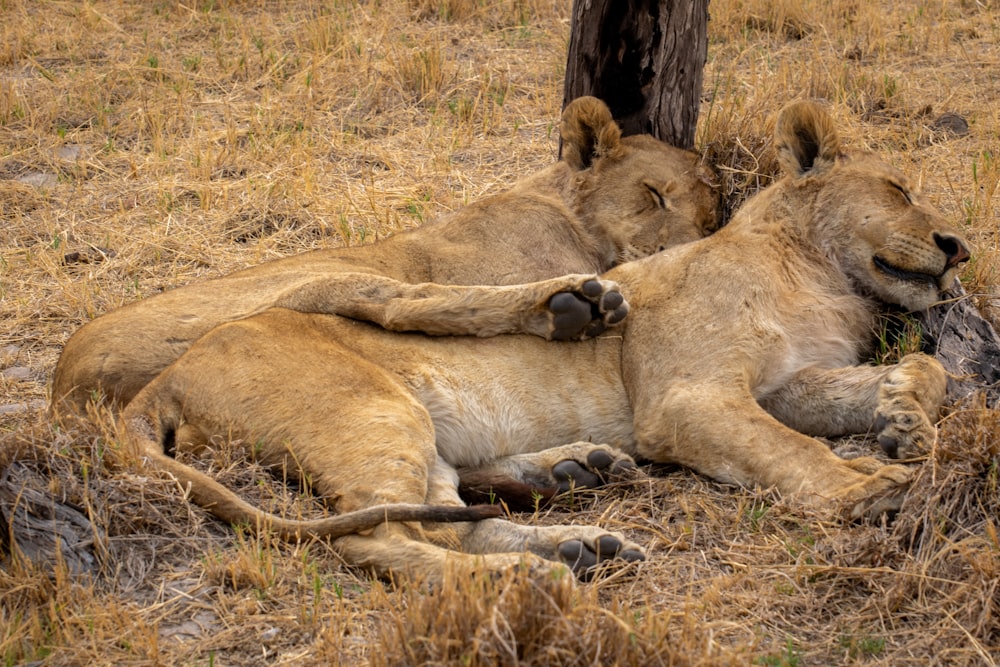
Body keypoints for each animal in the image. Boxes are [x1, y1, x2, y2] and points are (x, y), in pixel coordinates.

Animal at [50, 96, 720, 412]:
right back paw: (568, 307)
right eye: (654, 194)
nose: (693, 245)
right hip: (318, 278)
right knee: (411, 303)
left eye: (710, 216)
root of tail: (65, 386)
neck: (569, 212)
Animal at [115, 100, 968, 584]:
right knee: (379, 536)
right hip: (368, 409)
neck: (822, 275)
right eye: (899, 189)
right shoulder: (689, 397)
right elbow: (791, 452)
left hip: (407, 432)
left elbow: (924, 366)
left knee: (448, 514)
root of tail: (166, 379)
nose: (958, 246)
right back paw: (528, 575)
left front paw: (903, 419)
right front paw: (870, 489)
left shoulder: (789, 381)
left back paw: (579, 535)